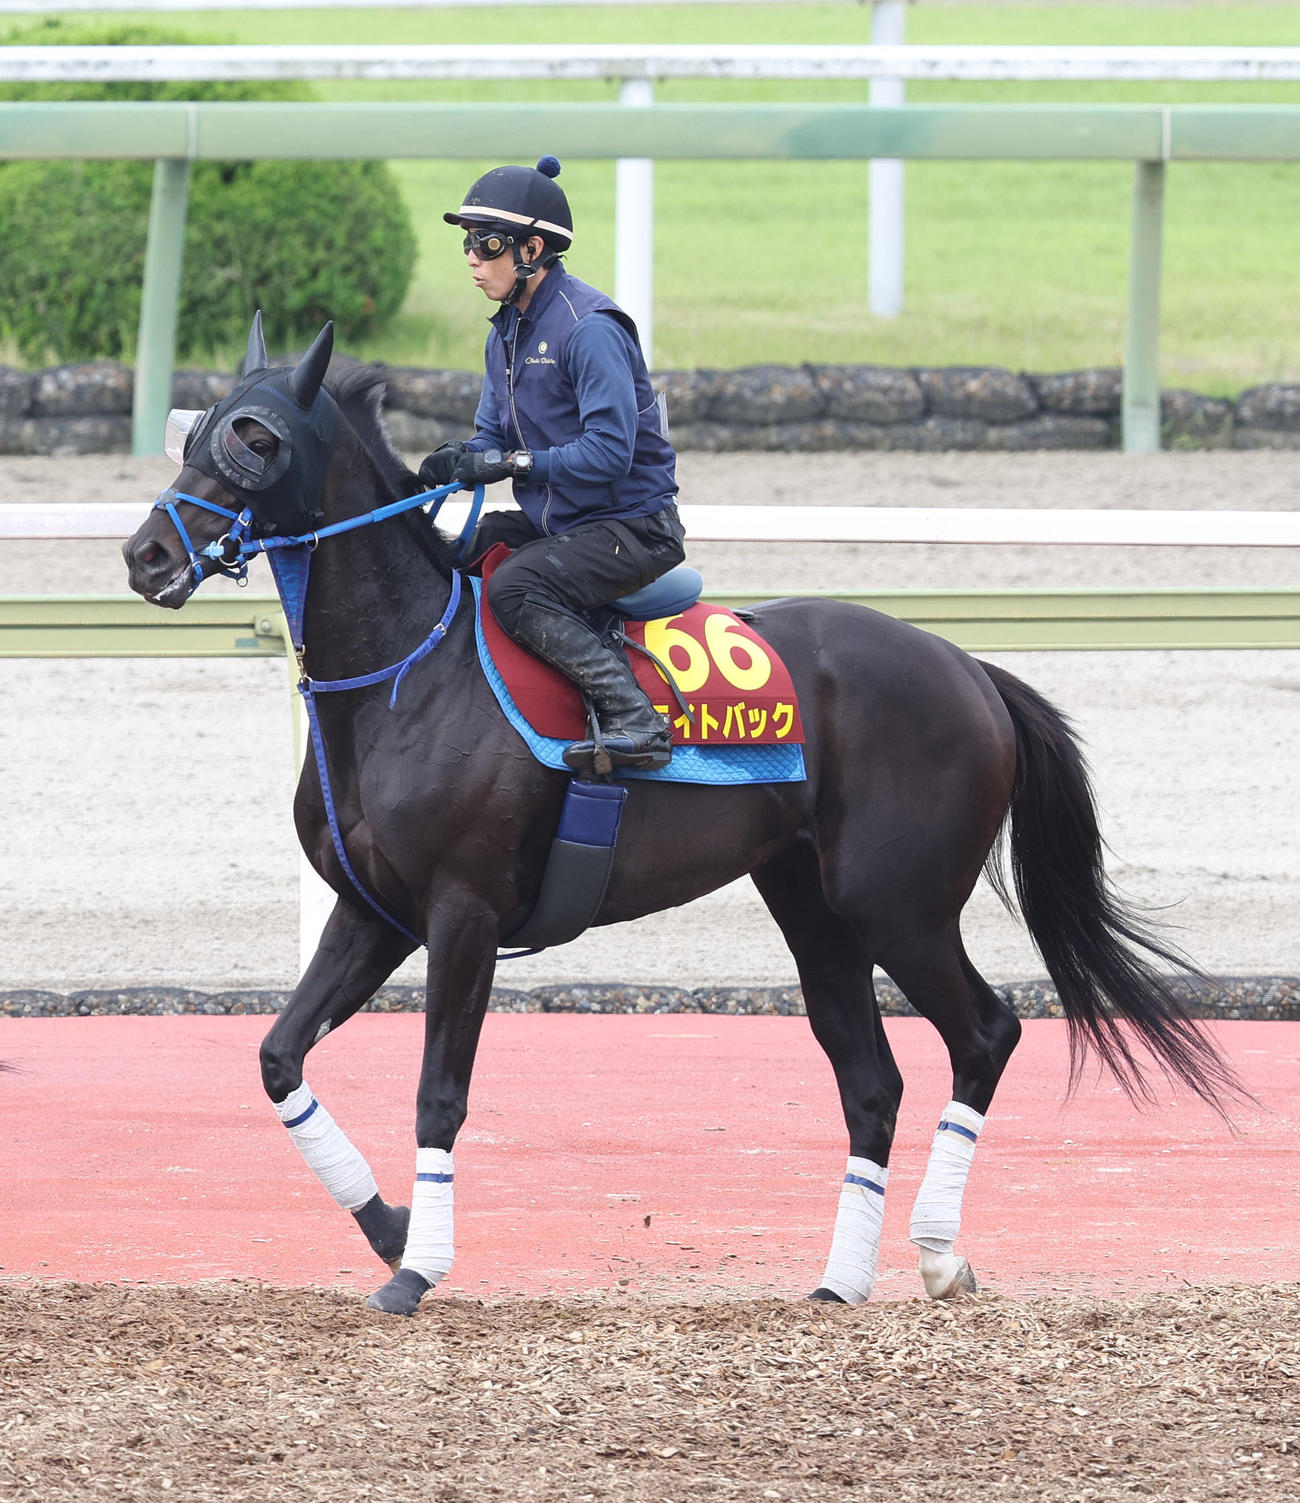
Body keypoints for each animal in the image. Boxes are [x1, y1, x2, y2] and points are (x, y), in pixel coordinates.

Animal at [123, 318, 1240, 1317]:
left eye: (256, 437)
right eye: (194, 429)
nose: (146, 555)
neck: (405, 672)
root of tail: (967, 667)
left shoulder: (463, 914)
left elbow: (439, 1090)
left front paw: (418, 1269)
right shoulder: (373, 912)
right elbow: (278, 1056)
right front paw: (391, 1225)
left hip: (897, 904)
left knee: (985, 1033)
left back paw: (936, 1253)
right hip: (811, 905)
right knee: (871, 1080)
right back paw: (840, 1279)